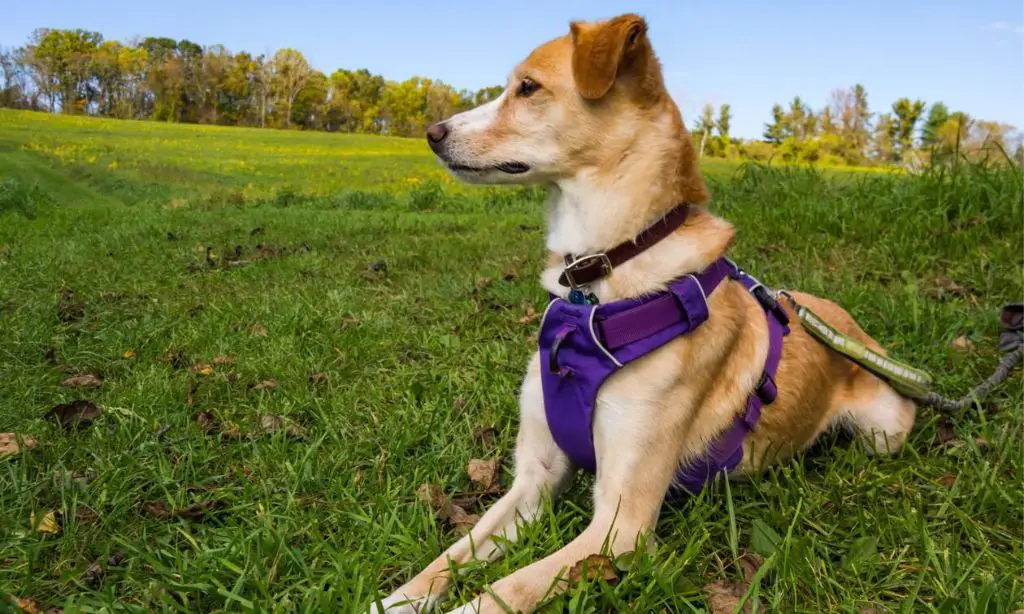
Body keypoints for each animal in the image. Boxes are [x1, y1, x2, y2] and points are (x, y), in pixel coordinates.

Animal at [372, 12, 917, 609]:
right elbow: (452, 556)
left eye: (528, 88)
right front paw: (395, 598)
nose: (432, 133)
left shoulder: (620, 525)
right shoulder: (535, 479)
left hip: (884, 433)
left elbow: (506, 588)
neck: (597, 281)